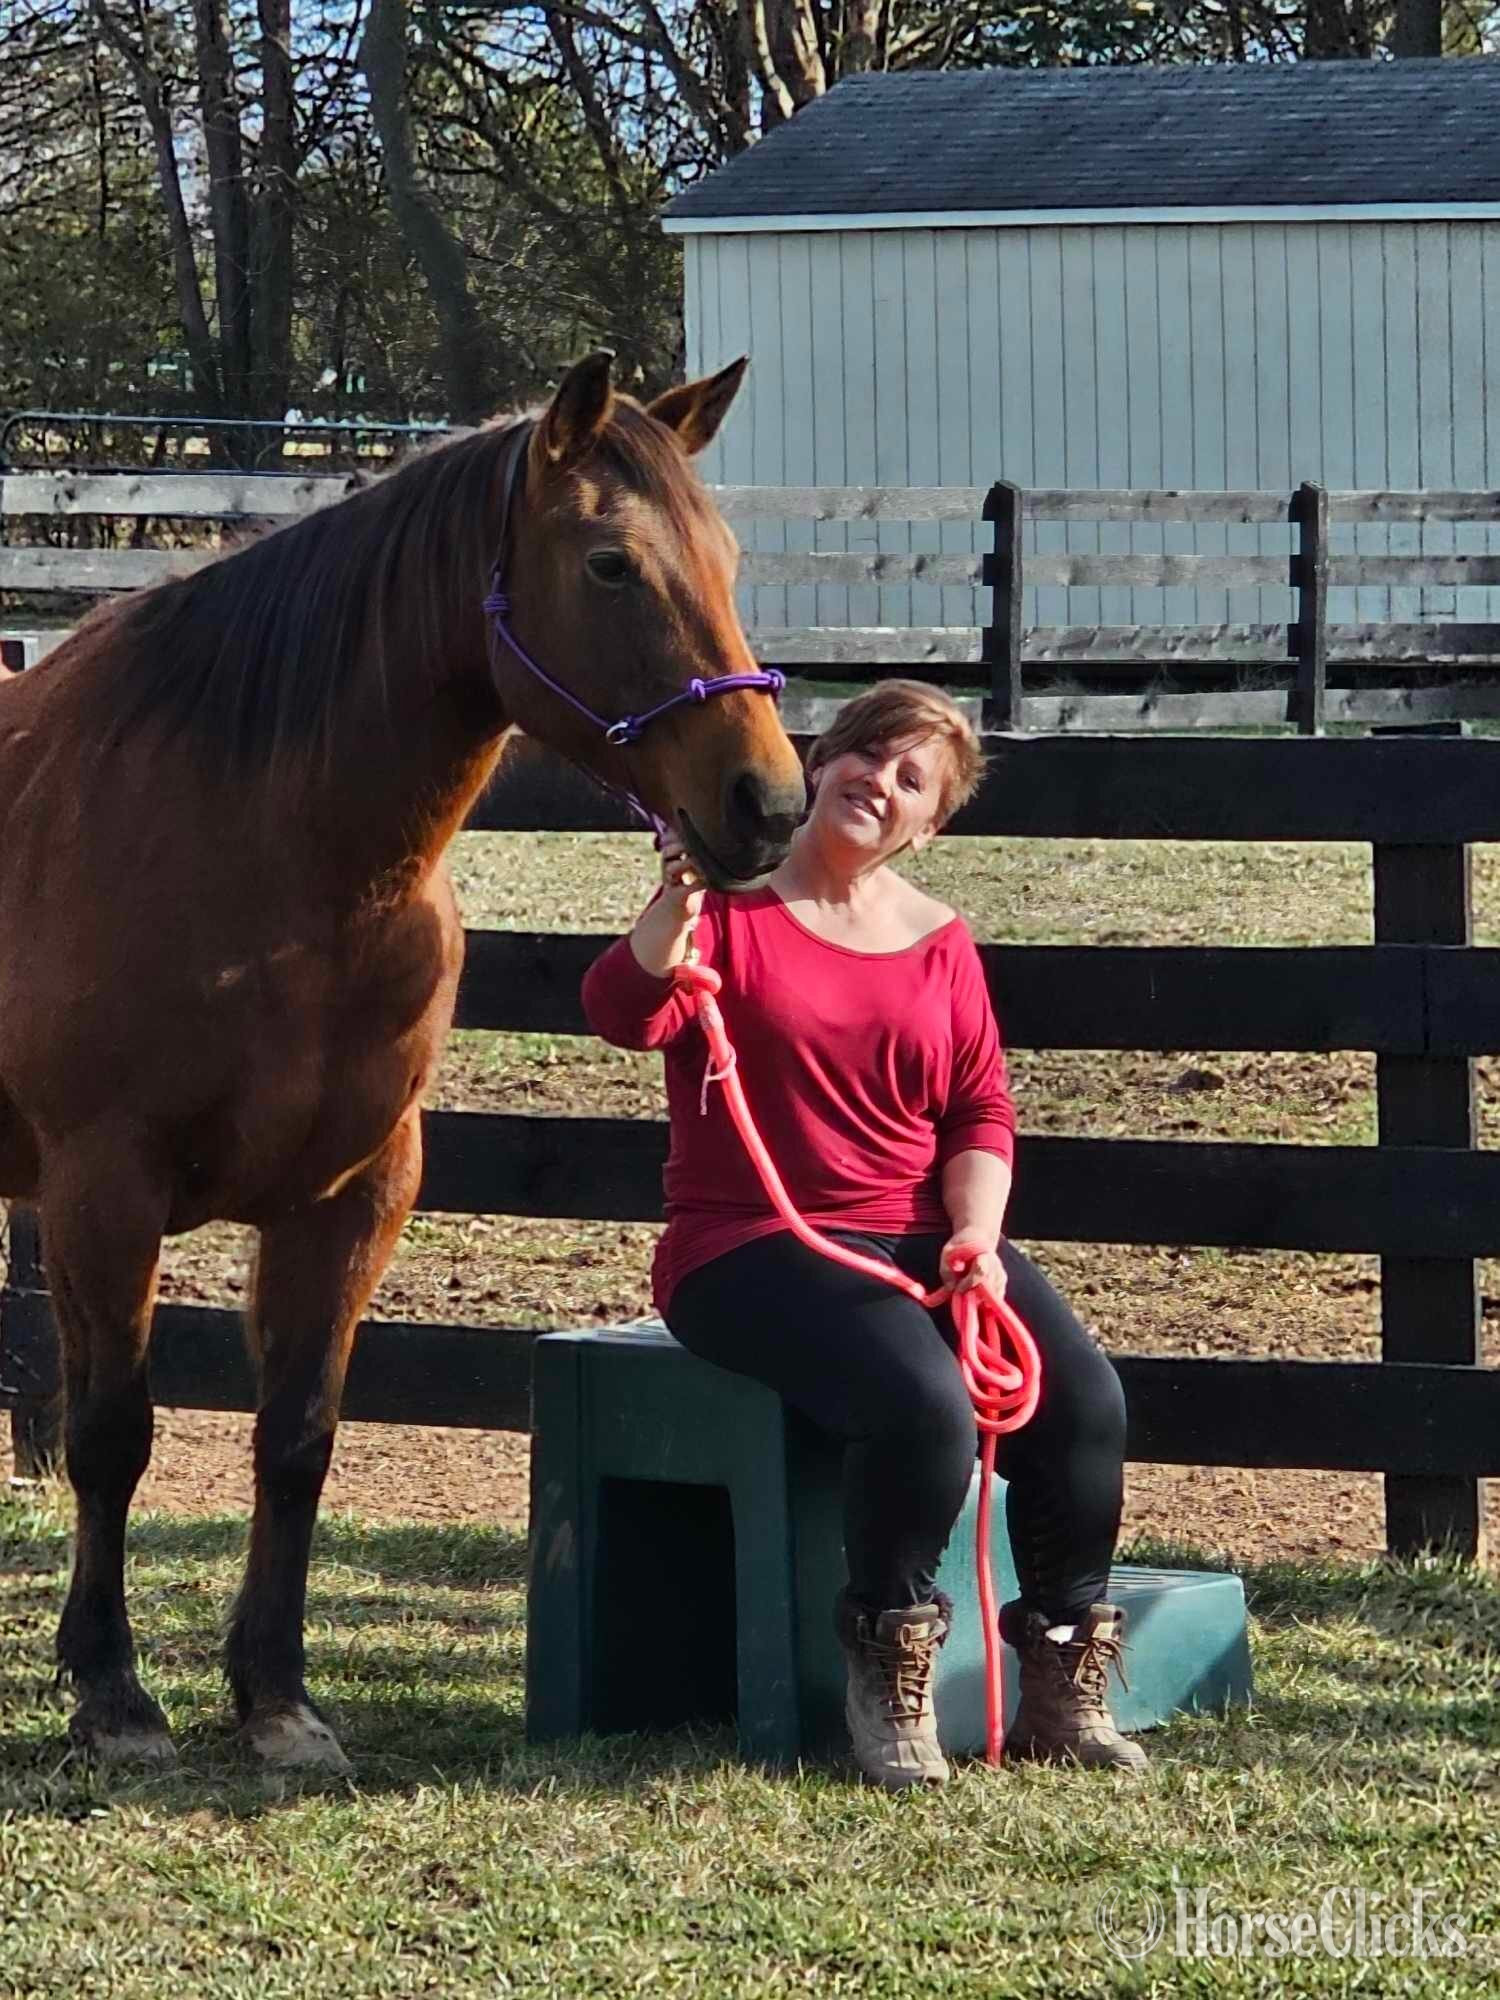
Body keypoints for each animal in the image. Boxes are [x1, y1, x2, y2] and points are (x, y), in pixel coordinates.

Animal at [0, 352, 806, 1771]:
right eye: (610, 563)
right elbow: (111, 1433)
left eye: (727, 553)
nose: (766, 803)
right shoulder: (106, 1190)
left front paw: (275, 1697)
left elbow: (296, 1438)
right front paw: (115, 1694)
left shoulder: (355, 1194)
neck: (262, 857)